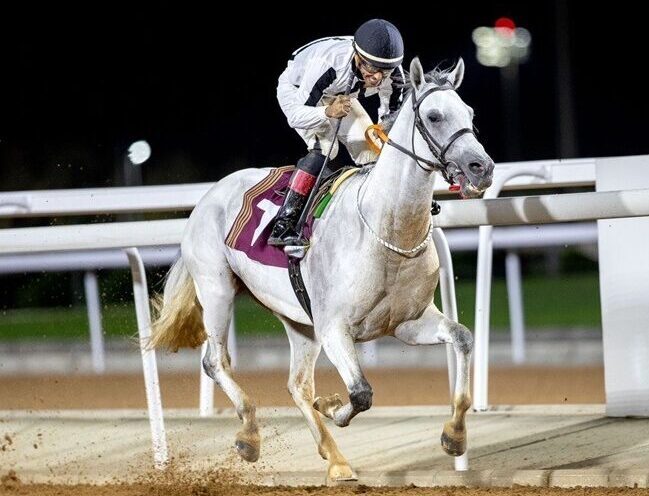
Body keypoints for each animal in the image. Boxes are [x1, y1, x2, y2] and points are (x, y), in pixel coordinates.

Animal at [150, 56, 494, 482]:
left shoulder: (408, 323)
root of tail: (208, 196)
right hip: (216, 289)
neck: (386, 229)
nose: (481, 167)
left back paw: (337, 459)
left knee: (298, 385)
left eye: (470, 114)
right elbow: (361, 392)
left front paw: (455, 436)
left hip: (298, 320)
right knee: (216, 361)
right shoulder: (334, 328)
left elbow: (462, 338)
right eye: (433, 116)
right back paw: (249, 435)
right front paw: (333, 407)